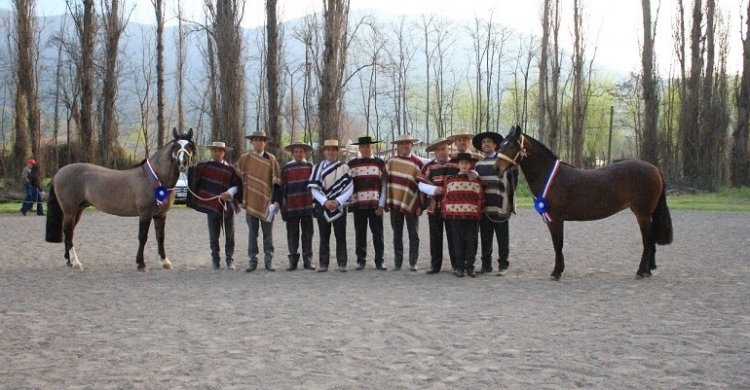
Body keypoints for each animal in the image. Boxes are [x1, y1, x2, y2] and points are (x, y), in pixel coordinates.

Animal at [43, 129, 197, 270]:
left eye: (189, 145)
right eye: (175, 146)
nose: (183, 163)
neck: (154, 178)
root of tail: (59, 172)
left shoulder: (161, 215)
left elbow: (161, 237)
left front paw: (165, 262)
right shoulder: (145, 214)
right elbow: (143, 237)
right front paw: (141, 263)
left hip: (78, 210)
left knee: (69, 232)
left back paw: (69, 261)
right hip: (70, 210)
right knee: (68, 232)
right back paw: (76, 262)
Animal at [494, 126, 676, 278]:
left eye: (511, 146)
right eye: (501, 144)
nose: (496, 168)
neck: (550, 177)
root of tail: (655, 168)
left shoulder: (555, 219)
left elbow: (557, 245)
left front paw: (556, 272)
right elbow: (558, 245)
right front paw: (560, 270)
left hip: (642, 214)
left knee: (648, 241)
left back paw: (640, 272)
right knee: (651, 241)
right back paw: (647, 271)